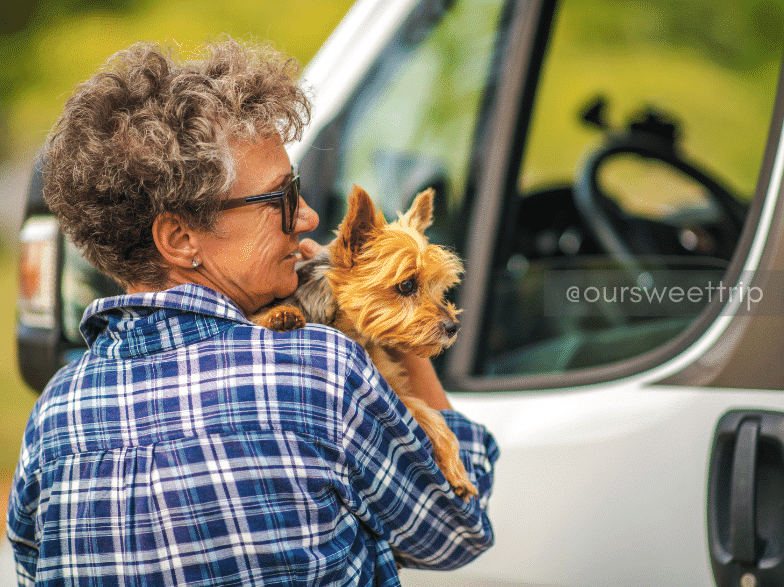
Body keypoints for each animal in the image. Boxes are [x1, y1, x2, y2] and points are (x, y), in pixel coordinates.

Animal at [258, 185, 478, 500]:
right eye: (407, 285)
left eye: (438, 287)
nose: (453, 327)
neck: (351, 329)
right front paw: (279, 315)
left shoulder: (391, 388)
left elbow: (430, 415)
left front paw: (456, 469)